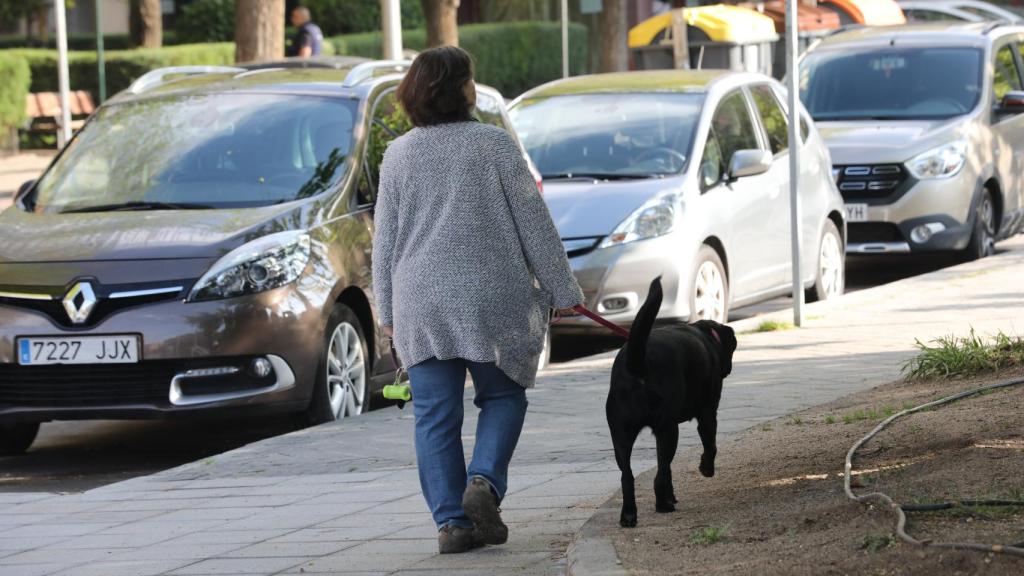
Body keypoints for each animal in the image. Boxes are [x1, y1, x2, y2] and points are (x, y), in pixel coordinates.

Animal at [606, 276, 737, 528]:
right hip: (668, 430)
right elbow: (710, 445)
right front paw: (706, 468)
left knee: (628, 476)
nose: (729, 368)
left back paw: (629, 515)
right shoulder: (708, 414)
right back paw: (663, 505)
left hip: (621, 435)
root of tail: (637, 363)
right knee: (661, 472)